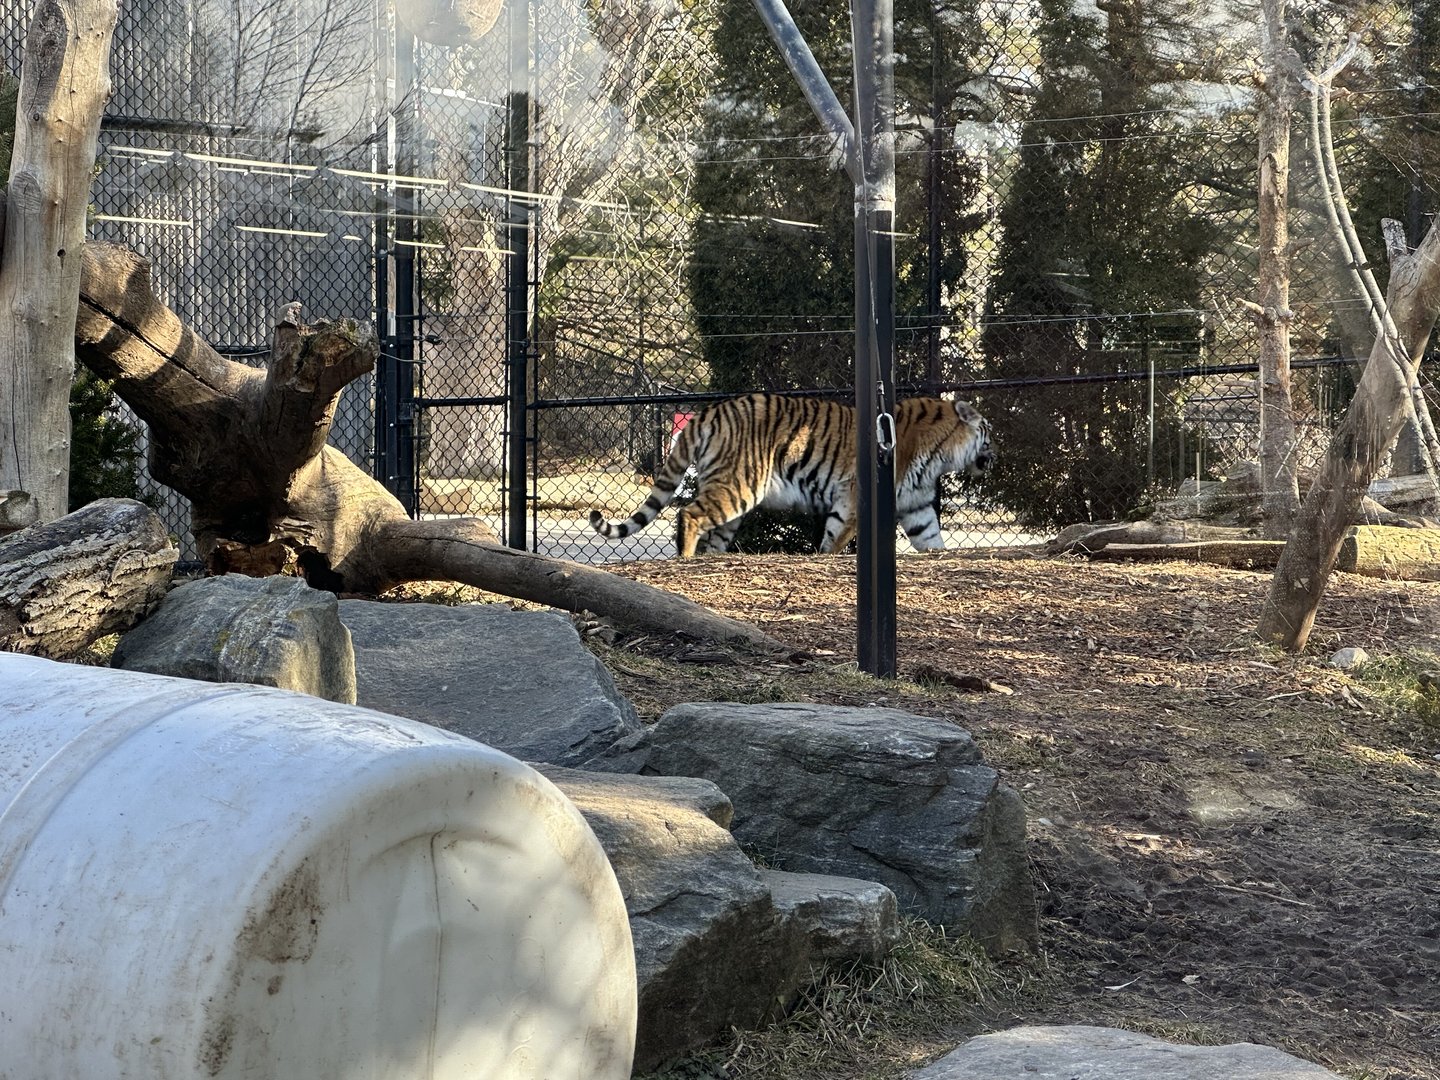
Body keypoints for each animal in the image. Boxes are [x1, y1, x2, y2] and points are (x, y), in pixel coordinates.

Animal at [588, 393, 994, 558]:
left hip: (728, 495)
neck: (940, 455)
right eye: (989, 432)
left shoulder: (917, 507)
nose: (996, 454)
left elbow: (932, 540)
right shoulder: (855, 497)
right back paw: (686, 560)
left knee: (711, 533)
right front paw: (826, 558)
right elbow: (837, 537)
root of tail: (709, 412)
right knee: (688, 514)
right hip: (739, 485)